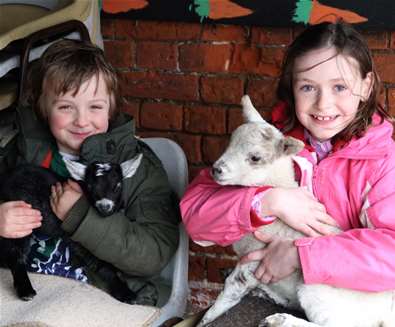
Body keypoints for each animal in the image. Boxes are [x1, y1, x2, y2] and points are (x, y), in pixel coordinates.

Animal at [0, 154, 142, 302]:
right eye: (90, 186)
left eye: (117, 186)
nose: (104, 207)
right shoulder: (82, 238)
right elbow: (101, 264)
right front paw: (125, 293)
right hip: (20, 216)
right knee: (15, 252)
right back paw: (25, 290)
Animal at [200, 95, 395, 327]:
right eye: (230, 143)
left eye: (255, 158)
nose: (216, 169)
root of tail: (386, 312)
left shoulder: (254, 261)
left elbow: (231, 289)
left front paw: (206, 319)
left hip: (319, 290)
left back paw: (281, 320)